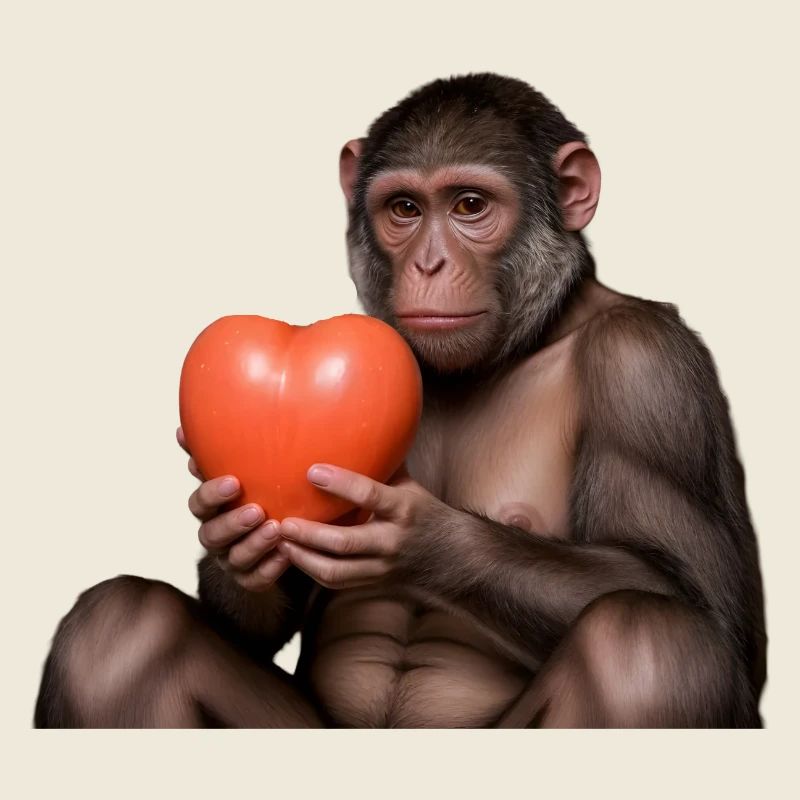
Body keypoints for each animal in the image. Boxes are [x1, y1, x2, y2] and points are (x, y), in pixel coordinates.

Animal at [34, 72, 766, 728]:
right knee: (122, 627)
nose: (429, 264)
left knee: (643, 642)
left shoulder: (648, 373)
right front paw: (229, 537)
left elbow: (697, 601)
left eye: (470, 206)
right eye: (405, 210)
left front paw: (426, 541)